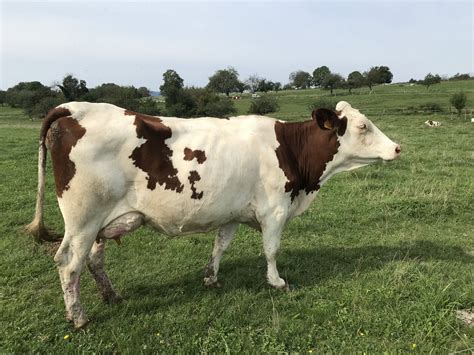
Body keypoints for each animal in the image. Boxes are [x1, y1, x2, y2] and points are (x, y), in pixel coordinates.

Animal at [25, 100, 402, 328]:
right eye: (363, 126)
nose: (398, 147)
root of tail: (75, 108)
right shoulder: (275, 209)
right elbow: (271, 250)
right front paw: (277, 281)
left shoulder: (232, 212)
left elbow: (220, 245)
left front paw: (210, 276)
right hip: (83, 219)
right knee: (68, 263)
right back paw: (78, 317)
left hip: (102, 223)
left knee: (94, 260)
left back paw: (112, 296)